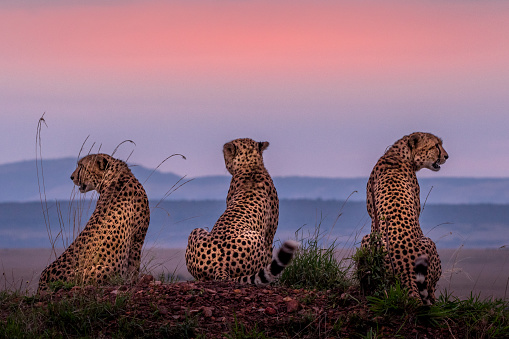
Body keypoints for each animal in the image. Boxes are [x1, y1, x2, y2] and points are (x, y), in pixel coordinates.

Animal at [37, 155, 149, 294]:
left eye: (82, 166)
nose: (71, 177)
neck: (115, 177)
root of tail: (43, 280)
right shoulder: (137, 239)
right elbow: (134, 267)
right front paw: (133, 282)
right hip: (105, 269)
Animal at [186, 138, 298, 284]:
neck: (250, 166)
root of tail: (220, 265)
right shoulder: (269, 235)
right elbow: (270, 256)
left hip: (195, 232)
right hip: (257, 237)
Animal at [362, 133, 448, 306]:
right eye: (436, 145)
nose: (446, 156)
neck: (398, 154)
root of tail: (405, 267)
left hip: (367, 240)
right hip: (429, 242)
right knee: (430, 290)